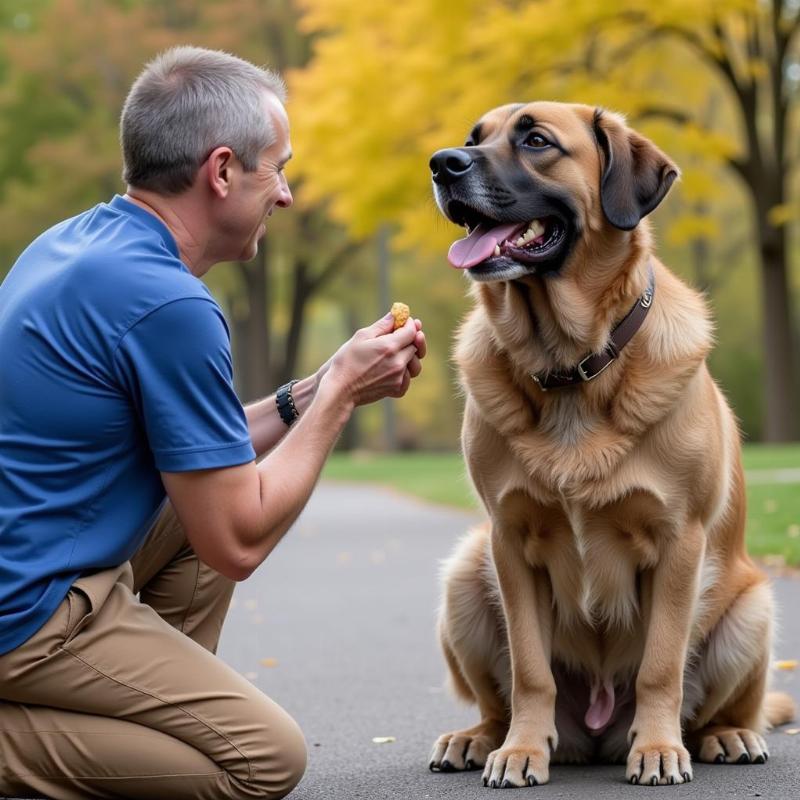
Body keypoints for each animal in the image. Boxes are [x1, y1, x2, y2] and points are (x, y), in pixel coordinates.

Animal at [428, 101, 792, 788]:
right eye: (473, 138)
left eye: (536, 141)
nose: (441, 164)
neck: (571, 366)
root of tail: (596, 731)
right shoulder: (508, 542)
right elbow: (530, 670)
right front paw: (521, 750)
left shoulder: (679, 541)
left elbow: (660, 666)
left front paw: (658, 747)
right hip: (464, 575)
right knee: (497, 700)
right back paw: (481, 739)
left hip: (751, 611)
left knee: (727, 708)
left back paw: (722, 736)